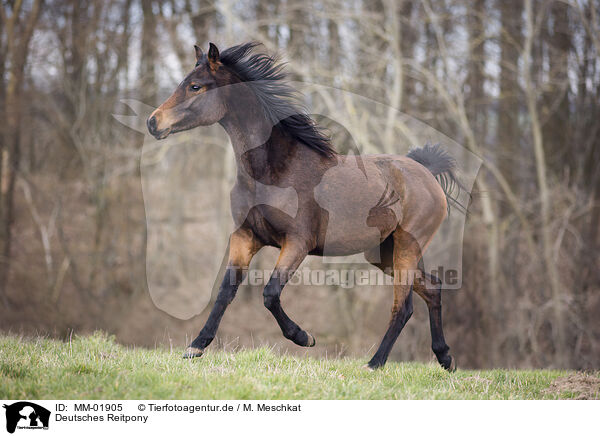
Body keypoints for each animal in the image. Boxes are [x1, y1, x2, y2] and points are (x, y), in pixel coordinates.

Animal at [148, 42, 458, 372]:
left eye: (195, 86)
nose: (153, 122)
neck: (273, 172)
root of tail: (426, 172)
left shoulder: (297, 242)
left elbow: (270, 294)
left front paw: (304, 337)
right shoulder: (245, 236)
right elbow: (225, 291)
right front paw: (196, 346)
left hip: (406, 248)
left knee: (404, 305)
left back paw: (375, 363)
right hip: (384, 252)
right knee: (432, 288)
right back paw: (445, 358)